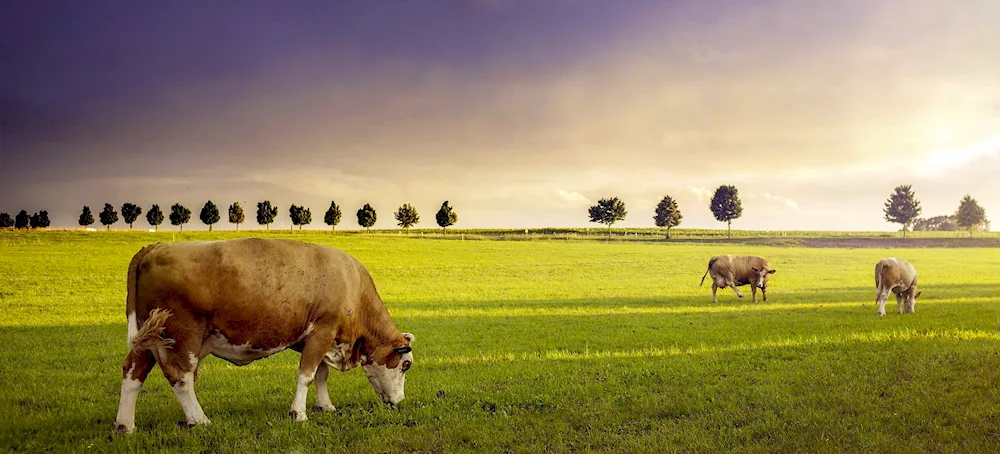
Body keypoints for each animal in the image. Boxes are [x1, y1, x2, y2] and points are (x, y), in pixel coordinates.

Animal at [114, 238, 414, 432]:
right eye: (406, 365)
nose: (400, 402)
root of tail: (155, 246)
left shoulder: (320, 338)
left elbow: (320, 374)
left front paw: (325, 406)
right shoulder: (323, 330)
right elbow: (306, 375)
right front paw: (299, 413)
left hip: (151, 338)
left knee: (133, 371)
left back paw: (125, 425)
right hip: (182, 336)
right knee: (181, 377)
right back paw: (199, 420)